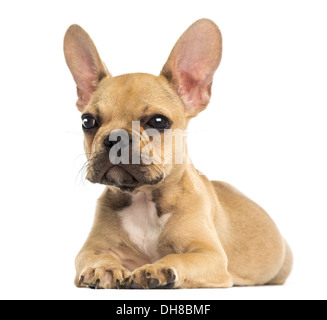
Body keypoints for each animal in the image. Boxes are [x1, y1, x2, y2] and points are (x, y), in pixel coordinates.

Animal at [63, 18, 292, 288]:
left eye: (158, 121)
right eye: (87, 121)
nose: (115, 137)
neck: (142, 197)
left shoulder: (210, 255)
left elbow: (180, 257)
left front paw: (158, 268)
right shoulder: (91, 249)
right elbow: (94, 257)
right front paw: (104, 268)